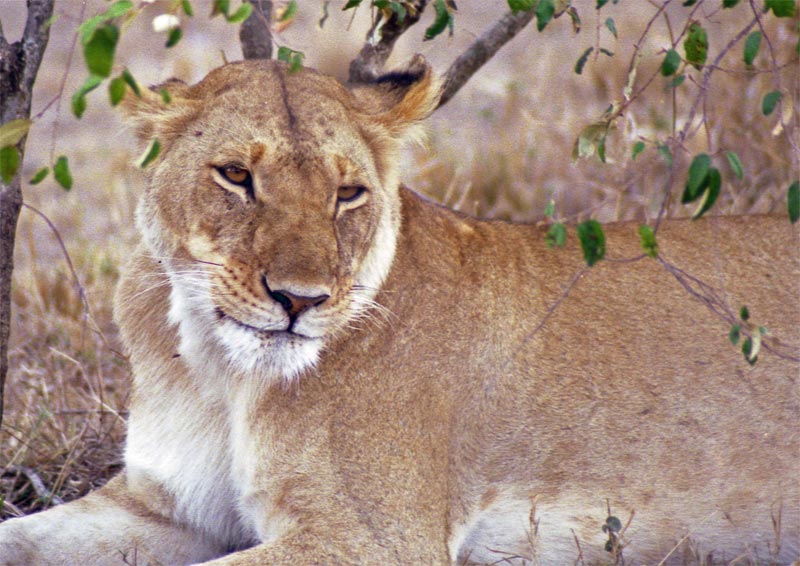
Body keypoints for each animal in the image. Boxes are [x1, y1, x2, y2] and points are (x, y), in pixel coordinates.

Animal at [0, 57, 797, 565]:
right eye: (235, 176)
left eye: (348, 193)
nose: (300, 300)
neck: (217, 371)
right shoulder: (160, 507)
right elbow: (23, 538)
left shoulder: (371, 537)